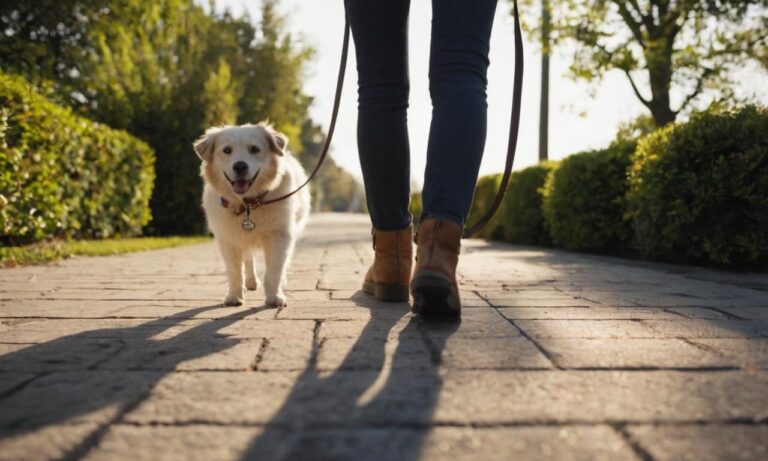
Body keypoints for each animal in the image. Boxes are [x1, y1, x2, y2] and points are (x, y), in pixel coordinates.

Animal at [194, 124, 310, 308]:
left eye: (255, 149)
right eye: (227, 150)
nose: (240, 166)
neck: (248, 204)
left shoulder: (280, 236)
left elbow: (274, 270)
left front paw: (274, 297)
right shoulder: (228, 239)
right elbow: (234, 272)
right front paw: (234, 297)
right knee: (248, 259)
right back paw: (250, 282)